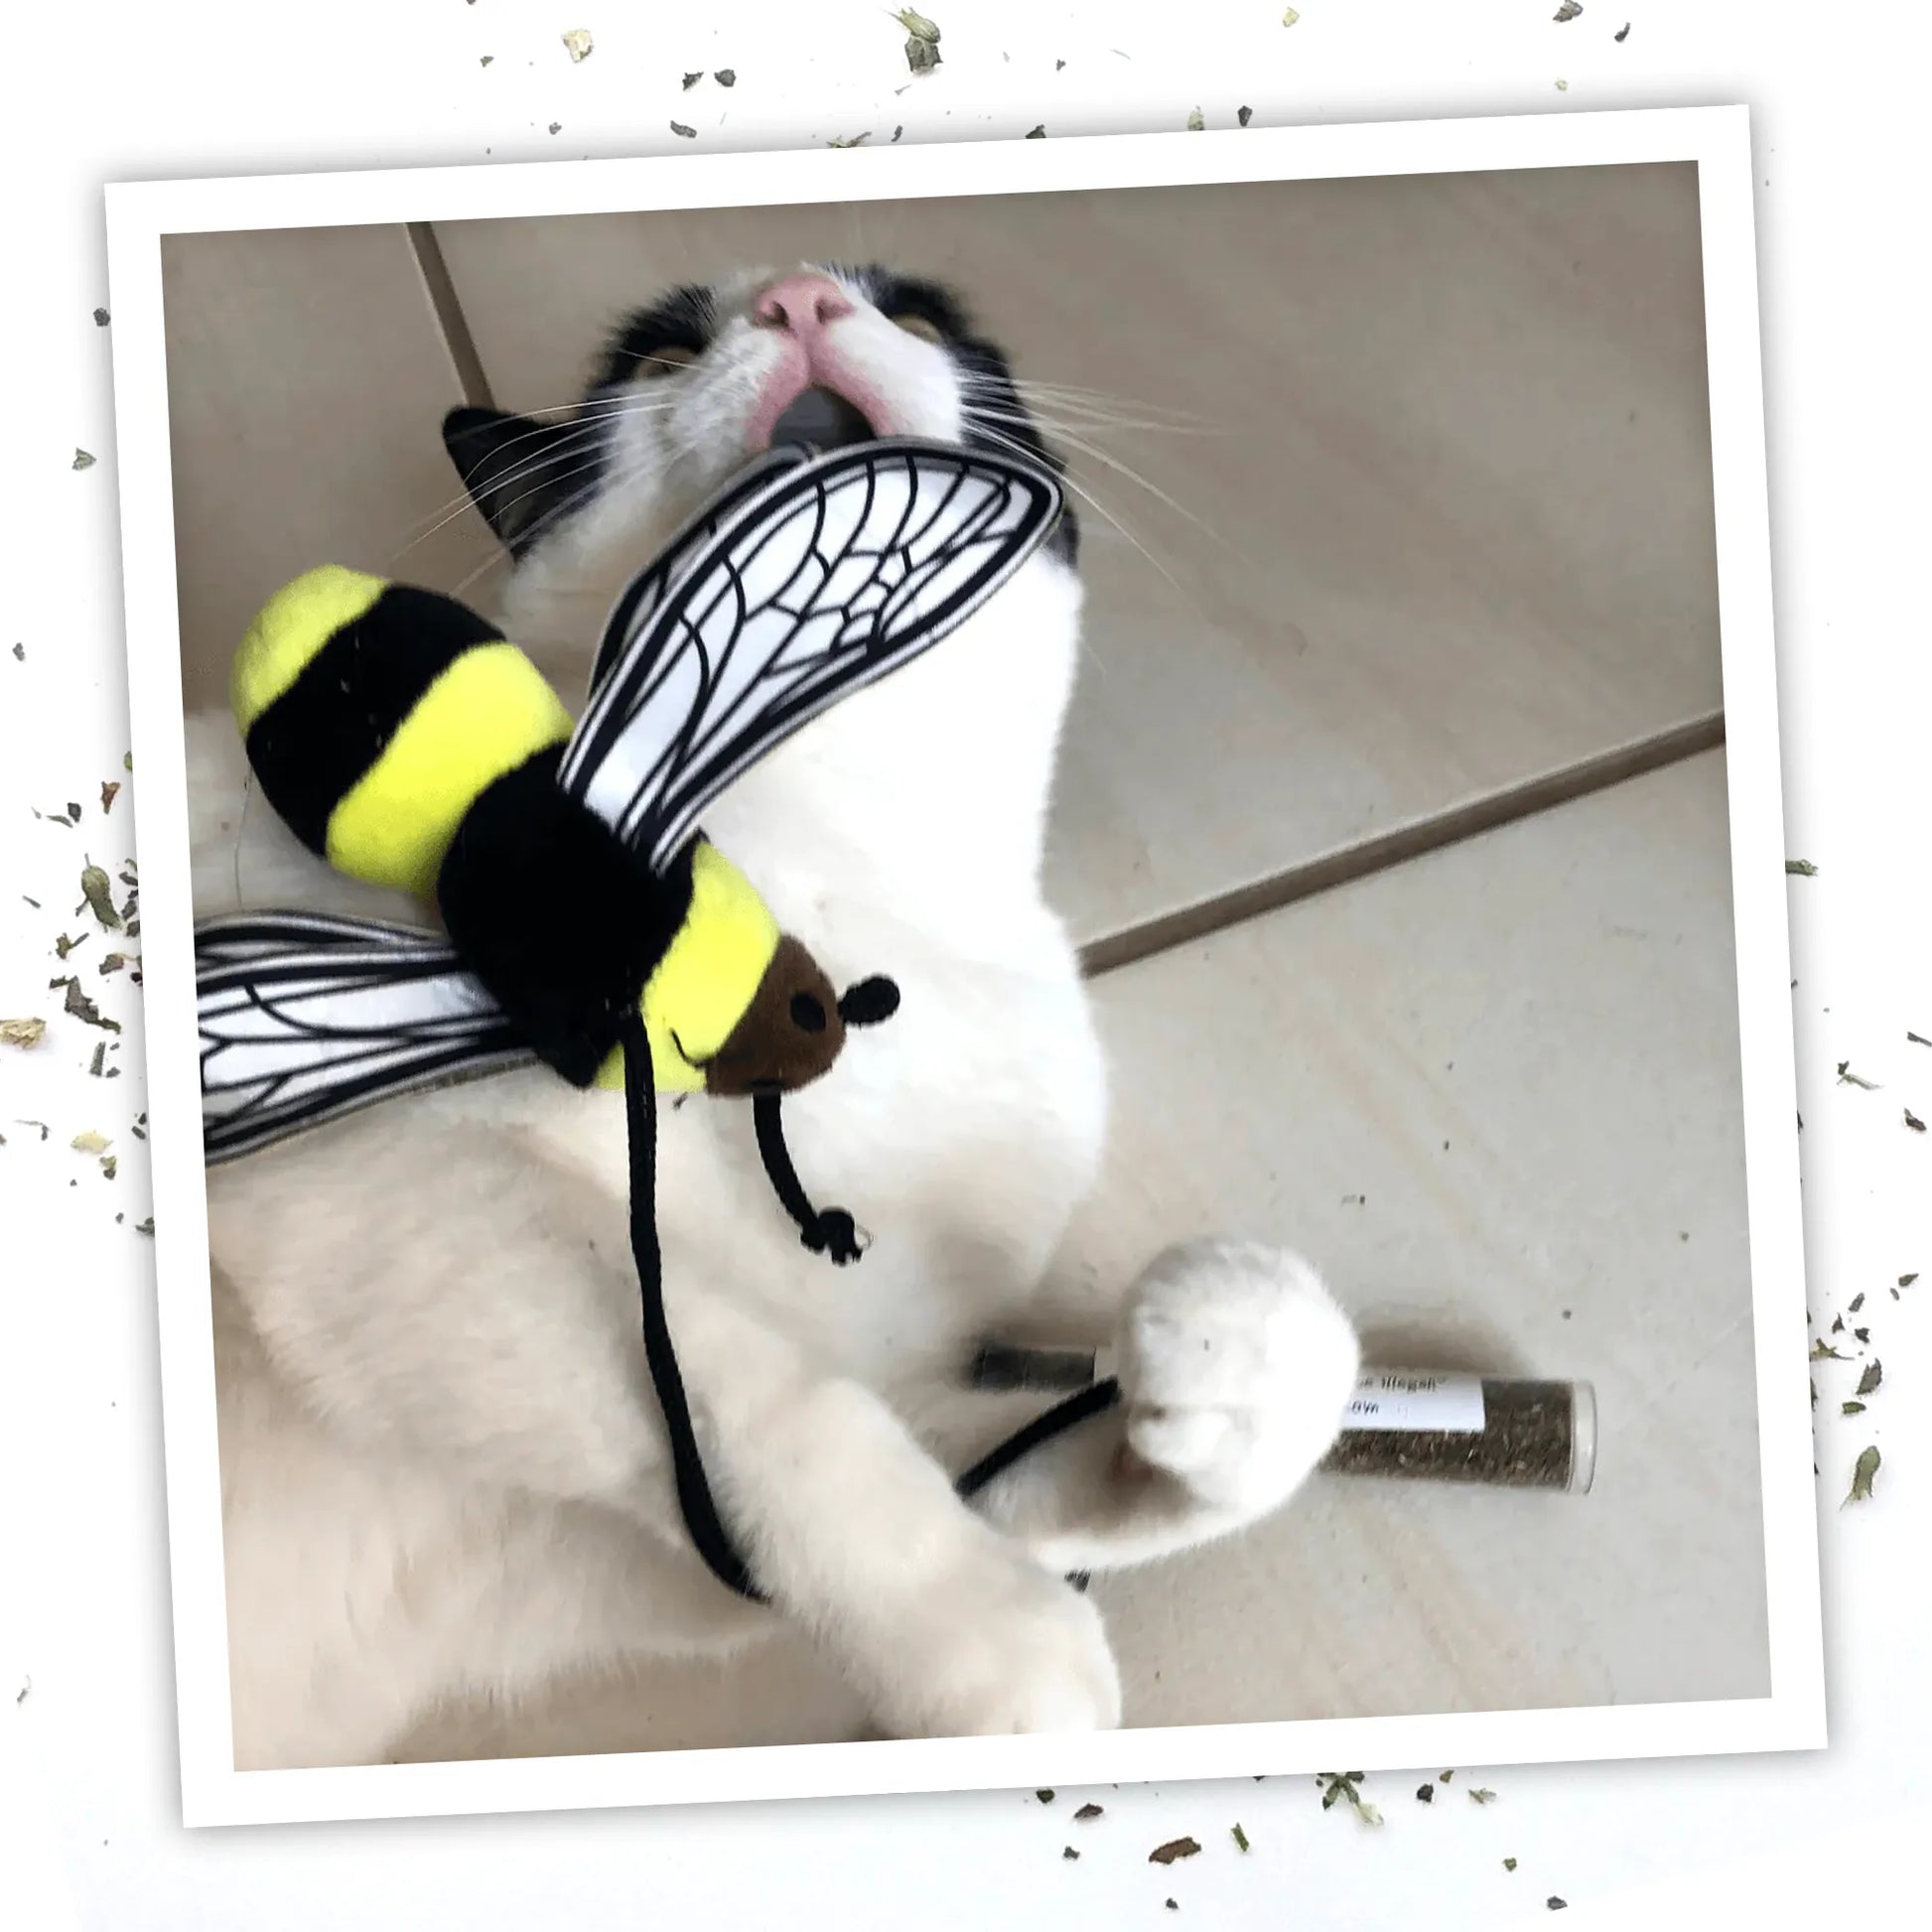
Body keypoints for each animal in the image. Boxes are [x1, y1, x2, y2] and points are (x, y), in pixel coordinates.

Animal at [184, 264, 1359, 1769]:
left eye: (918, 320)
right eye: (662, 354)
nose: (799, 297)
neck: (846, 839)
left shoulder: (598, 1550)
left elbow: (1001, 1457)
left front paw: (1211, 1372)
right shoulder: (400, 1194)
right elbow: (751, 1389)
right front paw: (990, 1637)